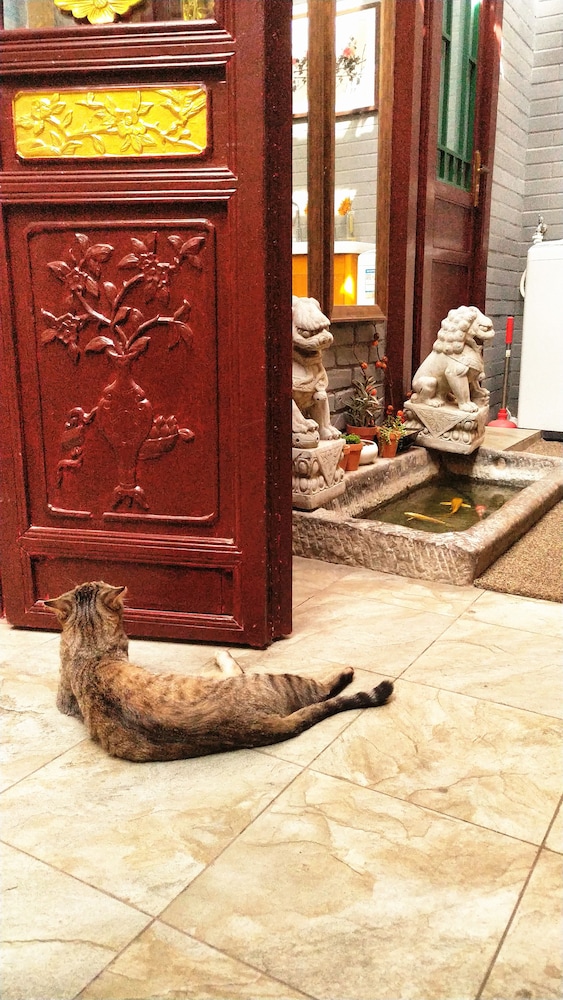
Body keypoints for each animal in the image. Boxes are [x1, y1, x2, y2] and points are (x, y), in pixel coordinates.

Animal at [44, 581, 393, 763]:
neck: (92, 650)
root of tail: (257, 726)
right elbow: (231, 664)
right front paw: (222, 654)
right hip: (280, 681)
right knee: (323, 690)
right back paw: (346, 671)